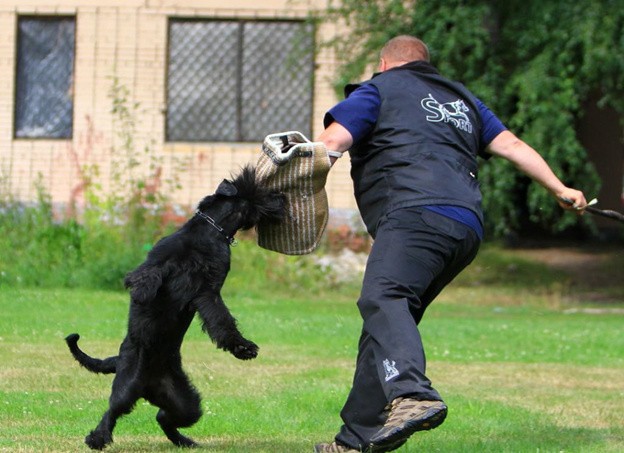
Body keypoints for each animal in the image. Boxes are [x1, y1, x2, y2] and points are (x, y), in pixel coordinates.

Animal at [66, 166, 286, 448]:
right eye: (256, 189)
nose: (281, 198)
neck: (209, 231)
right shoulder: (159, 263)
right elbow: (147, 276)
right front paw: (143, 292)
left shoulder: (207, 291)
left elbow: (221, 320)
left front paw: (242, 347)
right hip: (127, 386)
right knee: (113, 410)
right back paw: (97, 438)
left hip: (185, 402)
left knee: (163, 417)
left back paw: (184, 441)